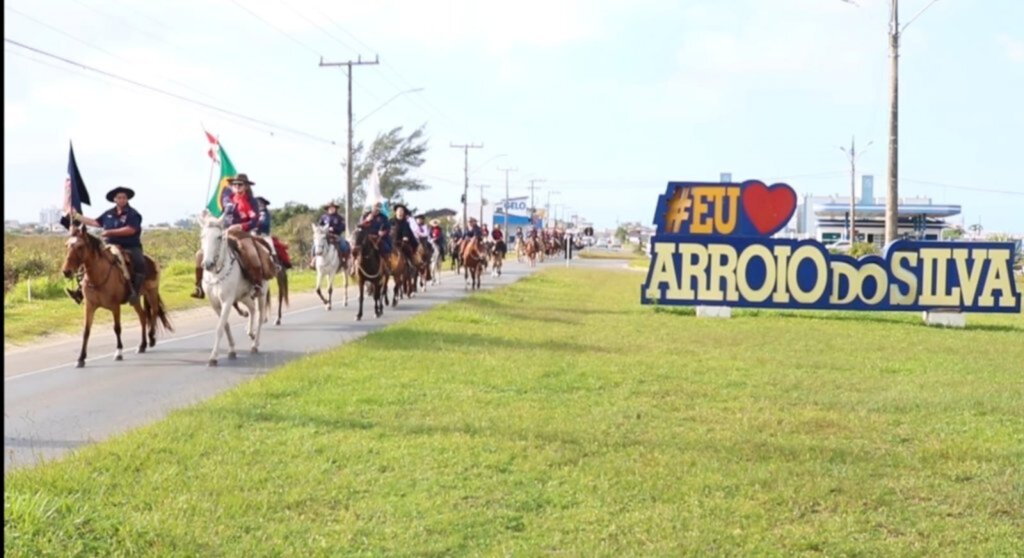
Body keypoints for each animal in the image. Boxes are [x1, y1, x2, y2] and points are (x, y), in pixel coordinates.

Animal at [61, 224, 172, 368]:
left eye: (80, 246)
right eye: (67, 245)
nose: (66, 271)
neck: (98, 277)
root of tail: (152, 261)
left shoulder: (115, 306)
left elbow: (117, 328)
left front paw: (118, 352)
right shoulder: (89, 306)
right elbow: (86, 331)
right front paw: (81, 358)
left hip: (151, 293)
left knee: (153, 312)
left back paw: (152, 337)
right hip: (136, 300)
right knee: (143, 317)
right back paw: (142, 345)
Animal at [199, 212, 268, 364]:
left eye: (219, 237)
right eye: (202, 236)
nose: (208, 264)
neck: (216, 275)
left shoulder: (227, 301)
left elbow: (220, 327)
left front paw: (213, 357)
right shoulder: (214, 303)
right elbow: (225, 325)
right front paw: (231, 350)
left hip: (262, 293)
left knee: (260, 316)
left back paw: (255, 344)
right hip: (243, 296)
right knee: (252, 309)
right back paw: (250, 332)